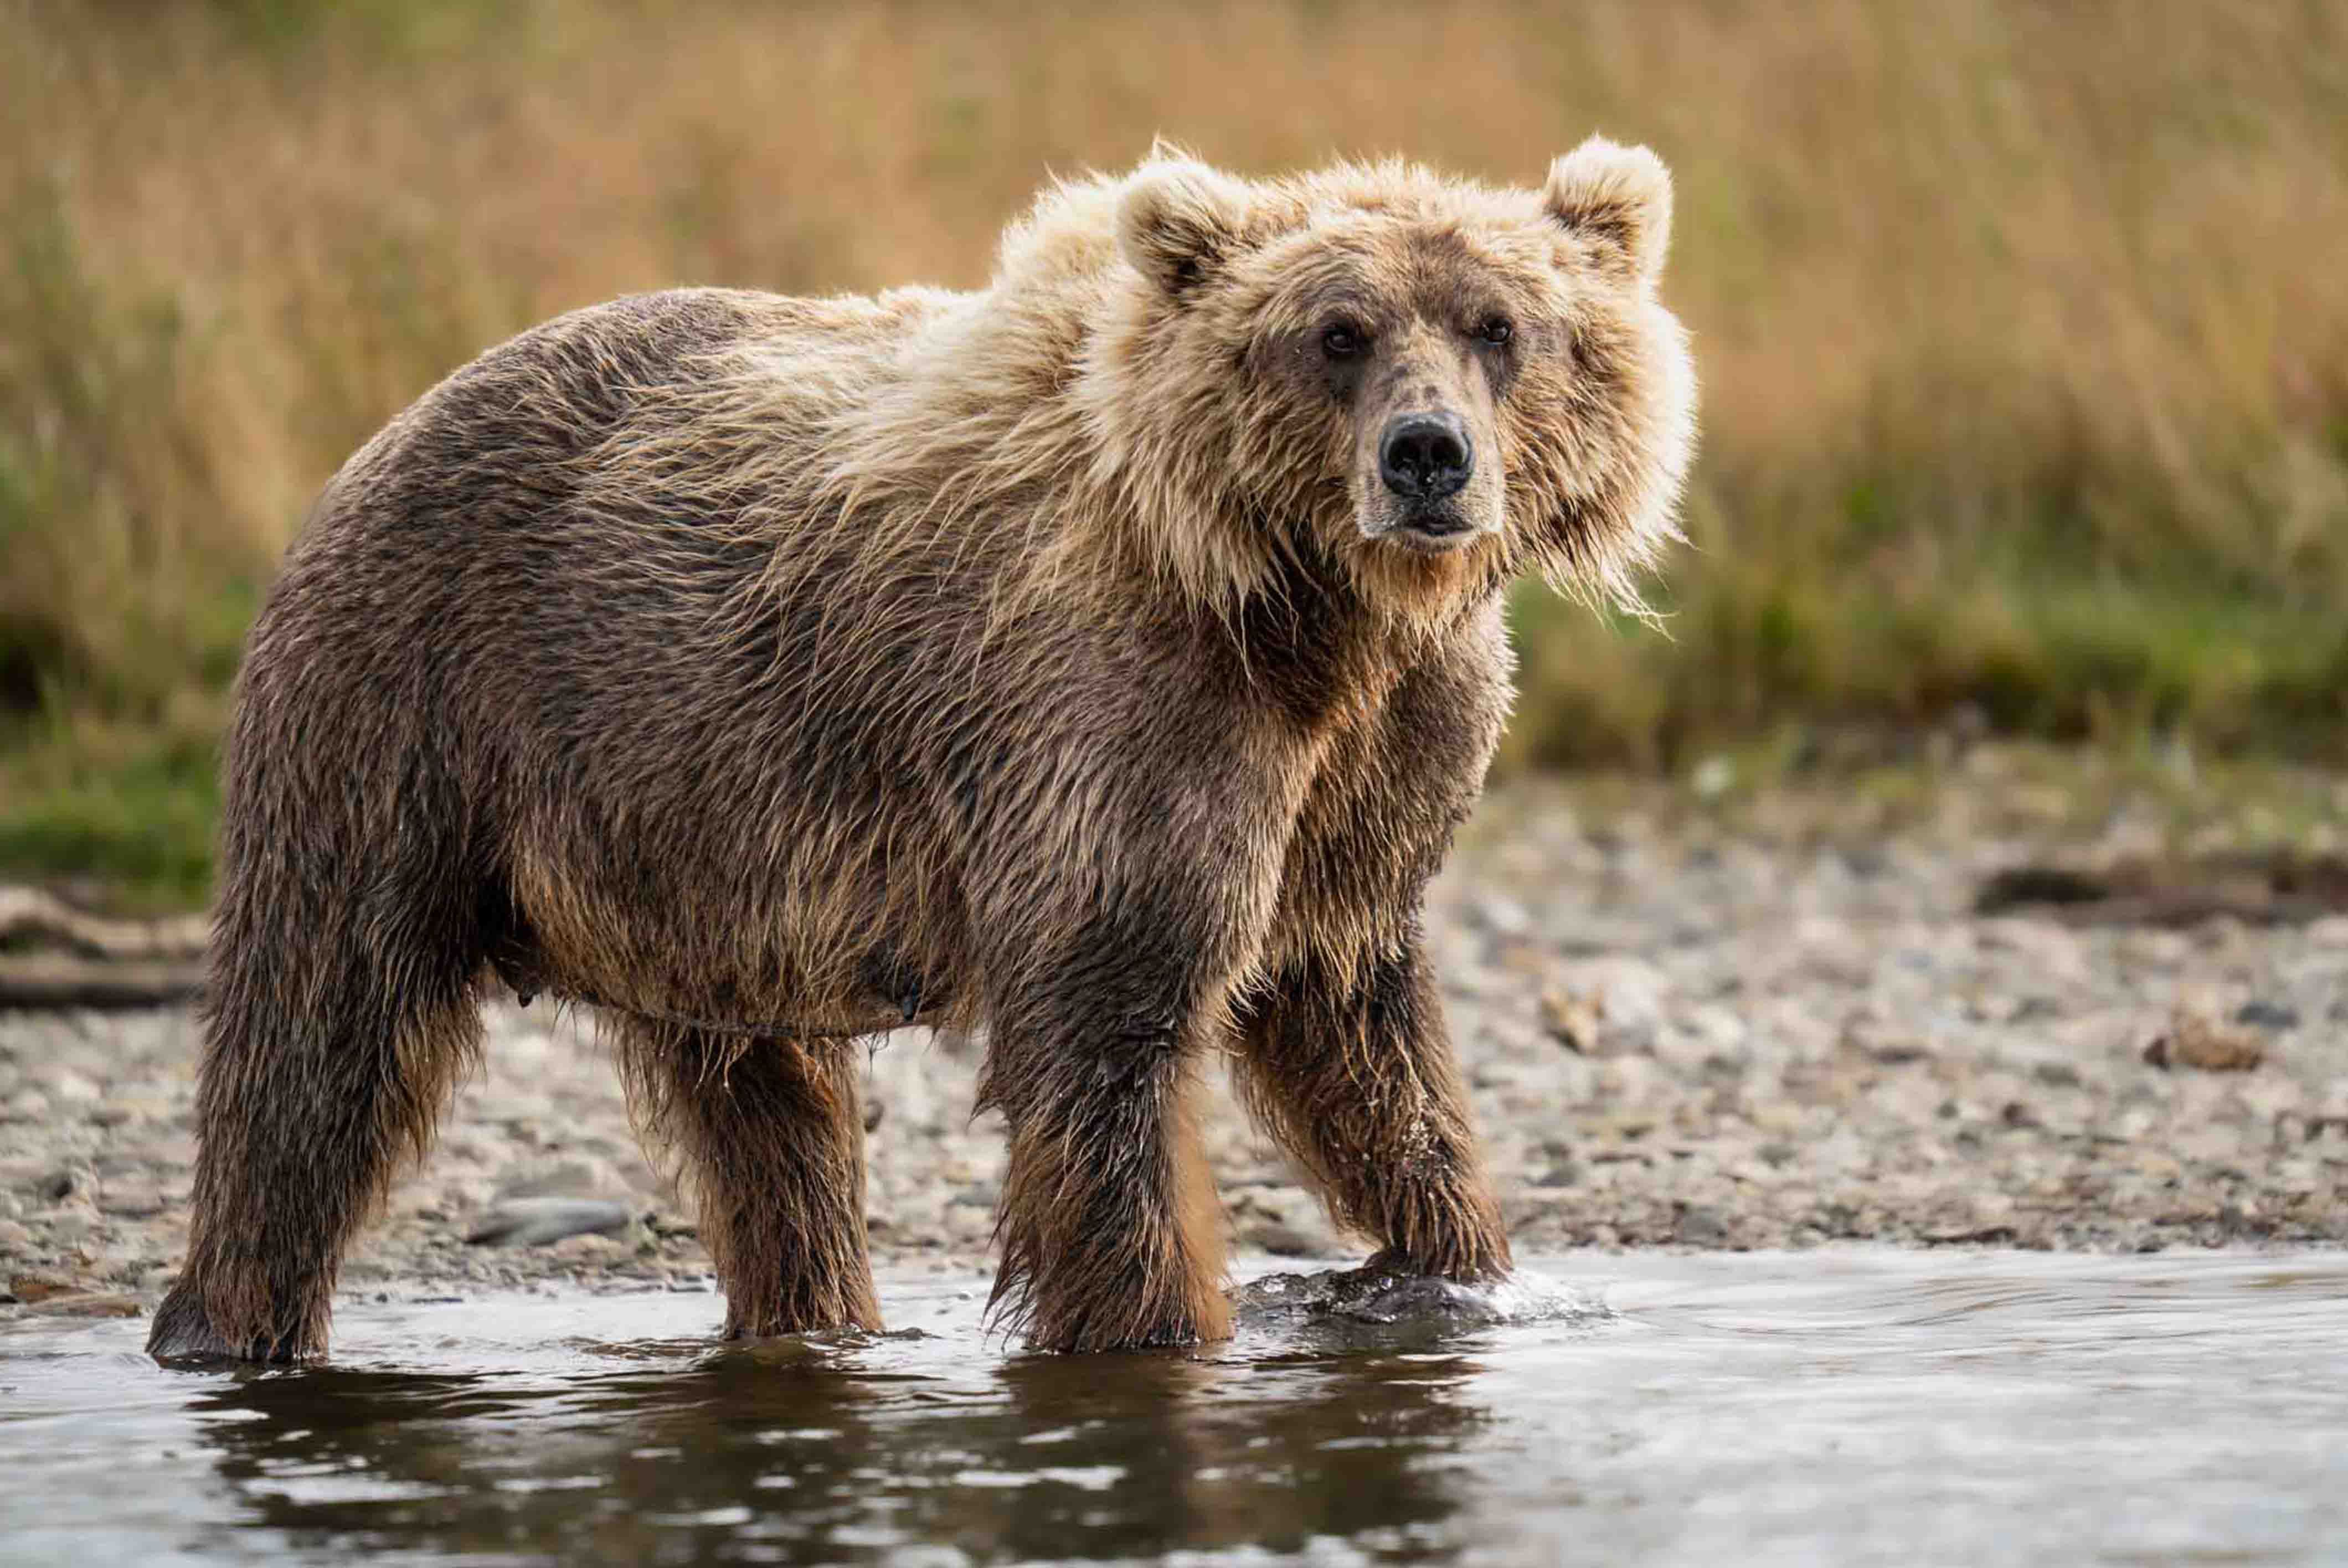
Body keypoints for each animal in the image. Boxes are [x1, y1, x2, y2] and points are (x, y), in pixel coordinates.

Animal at [147, 138, 1695, 1362]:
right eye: (1336, 332)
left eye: (1499, 324)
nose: (1427, 456)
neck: (1312, 615)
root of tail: (377, 439)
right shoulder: (1111, 722)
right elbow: (1110, 1034)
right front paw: (1152, 1322)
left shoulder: (1375, 760)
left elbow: (1355, 1019)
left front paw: (1447, 1262)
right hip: (411, 712)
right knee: (316, 1039)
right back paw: (229, 1321)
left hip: (689, 852)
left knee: (767, 1115)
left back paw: (813, 1316)